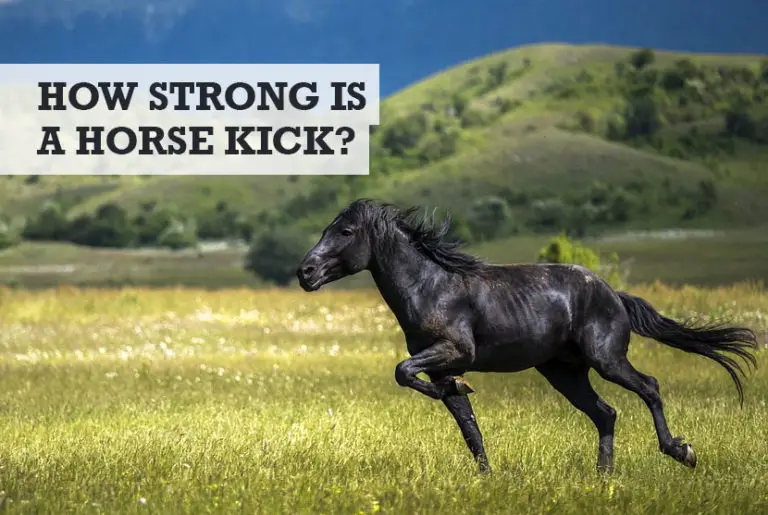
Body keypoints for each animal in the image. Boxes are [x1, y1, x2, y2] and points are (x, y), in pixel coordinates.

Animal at [295, 198, 759, 474]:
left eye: (345, 232)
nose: (305, 272)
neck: (431, 286)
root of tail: (613, 293)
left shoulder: (453, 350)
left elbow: (402, 371)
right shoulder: (442, 365)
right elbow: (465, 423)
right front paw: (485, 474)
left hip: (607, 359)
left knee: (649, 387)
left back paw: (681, 451)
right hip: (564, 372)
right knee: (605, 413)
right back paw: (603, 477)